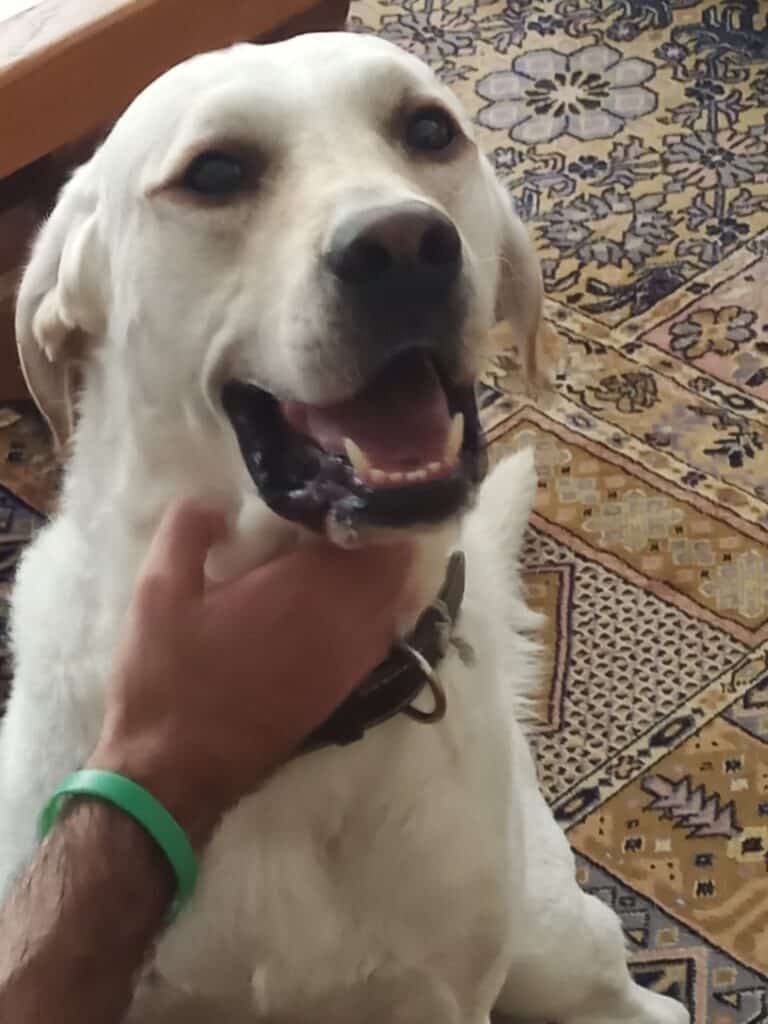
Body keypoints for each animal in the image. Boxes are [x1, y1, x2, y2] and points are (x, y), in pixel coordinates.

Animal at [1, 32, 689, 1024]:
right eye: (215, 171)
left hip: (549, 942)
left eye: (429, 129)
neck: (307, 733)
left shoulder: (439, 994)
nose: (404, 246)